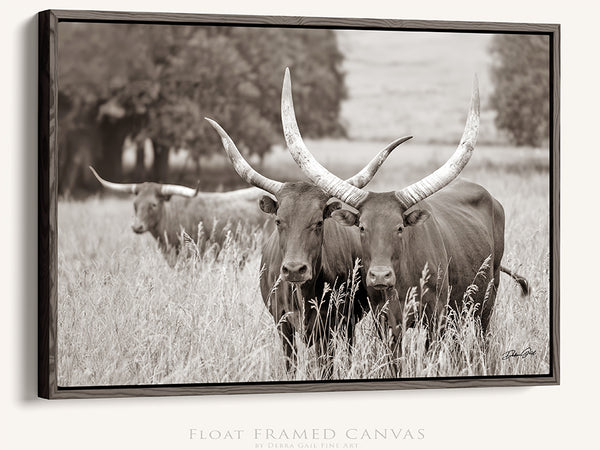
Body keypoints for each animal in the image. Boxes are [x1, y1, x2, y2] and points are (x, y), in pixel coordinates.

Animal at [207, 114, 412, 370]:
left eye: (318, 222)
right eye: (278, 221)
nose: (295, 269)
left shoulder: (329, 326)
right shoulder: (283, 325)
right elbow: (290, 365)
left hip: (349, 323)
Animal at [278, 68, 528, 354]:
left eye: (399, 228)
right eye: (362, 227)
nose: (380, 275)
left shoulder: (436, 318)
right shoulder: (386, 322)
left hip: (486, 299)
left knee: (482, 337)